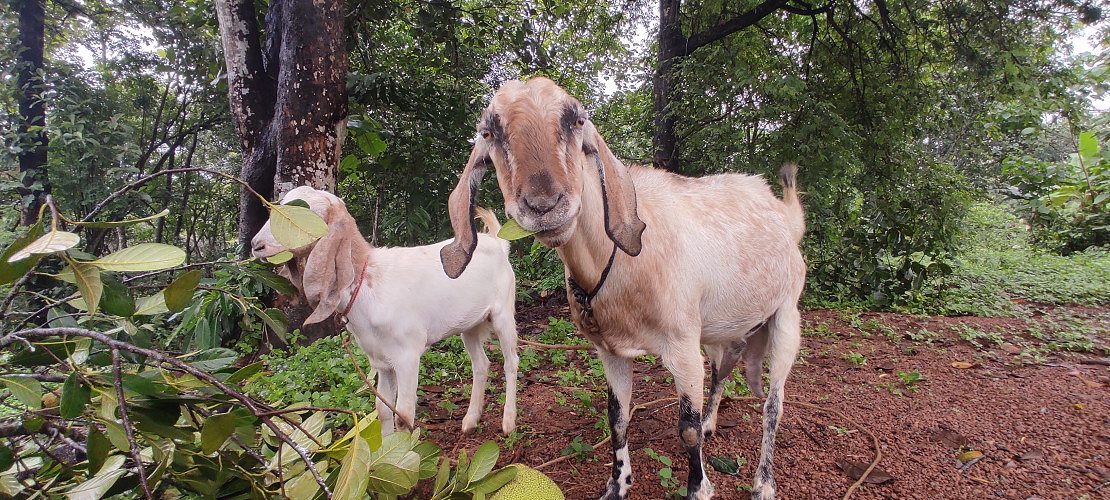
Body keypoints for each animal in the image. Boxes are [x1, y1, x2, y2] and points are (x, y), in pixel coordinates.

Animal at [252, 186, 519, 436]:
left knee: (511, 362)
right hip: (469, 325)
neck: (368, 280)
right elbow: (383, 410)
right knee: (481, 364)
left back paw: (508, 422)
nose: (256, 245)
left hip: (504, 313)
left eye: (305, 211)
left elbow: (404, 415)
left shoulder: (408, 355)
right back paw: (470, 421)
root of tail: (498, 242)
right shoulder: (381, 360)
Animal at [440, 78, 805, 500]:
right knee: (723, 371)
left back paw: (763, 481)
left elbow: (687, 429)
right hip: (723, 330)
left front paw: (698, 488)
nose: (544, 206)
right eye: (489, 132)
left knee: (774, 403)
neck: (622, 266)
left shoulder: (682, 344)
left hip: (786, 315)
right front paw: (617, 484)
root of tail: (786, 216)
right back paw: (715, 423)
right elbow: (616, 417)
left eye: (577, 120)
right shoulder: (610, 350)